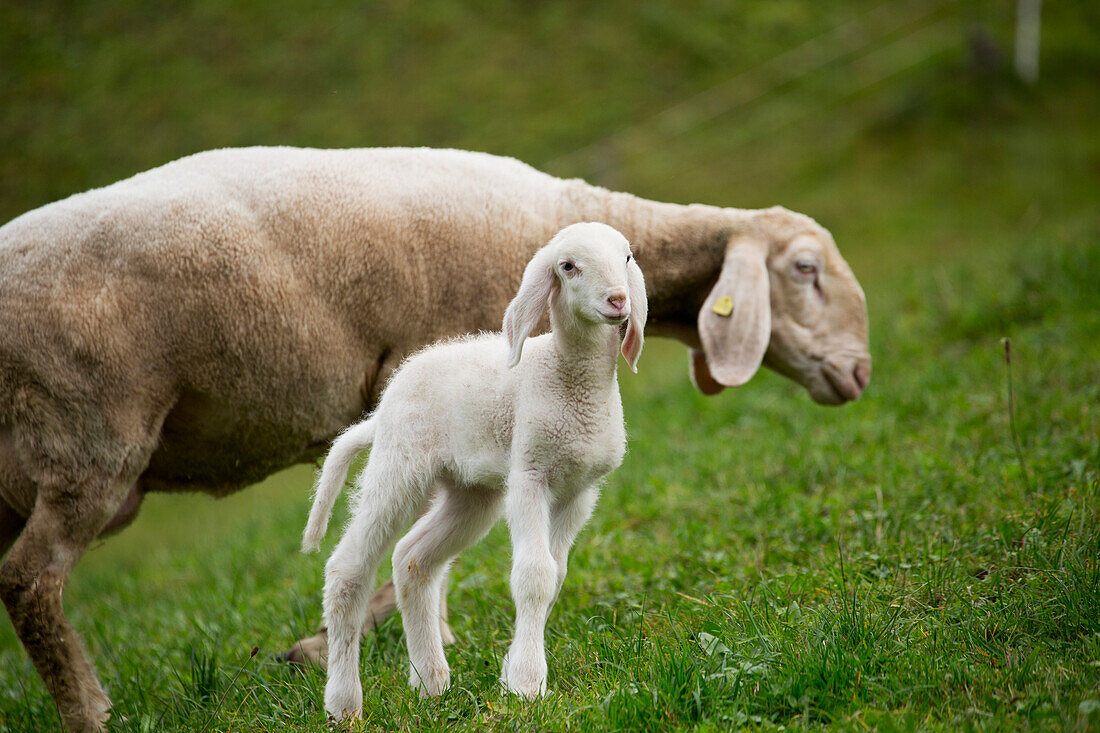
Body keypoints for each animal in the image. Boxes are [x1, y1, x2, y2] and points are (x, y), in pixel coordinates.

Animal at [301, 221, 642, 713]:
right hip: (400, 465)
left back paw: (430, 682)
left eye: (627, 257)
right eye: (567, 266)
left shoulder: (579, 491)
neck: (564, 376)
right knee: (348, 570)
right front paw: (527, 684)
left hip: (471, 493)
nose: (618, 299)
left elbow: (555, 575)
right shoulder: (530, 476)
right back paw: (344, 702)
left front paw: (514, 671)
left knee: (411, 559)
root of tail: (379, 414)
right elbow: (534, 576)